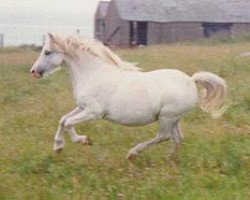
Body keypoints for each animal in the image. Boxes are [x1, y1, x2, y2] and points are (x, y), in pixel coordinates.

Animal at [30, 34, 227, 159]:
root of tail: (191, 80)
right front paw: (57, 148)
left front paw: (83, 140)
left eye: (47, 52)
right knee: (177, 139)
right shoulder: (82, 107)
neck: (93, 74)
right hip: (175, 119)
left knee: (163, 136)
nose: (34, 72)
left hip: (167, 117)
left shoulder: (94, 113)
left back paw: (133, 153)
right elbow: (63, 120)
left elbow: (69, 123)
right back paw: (170, 160)